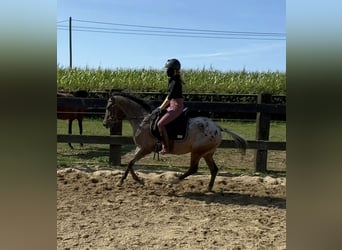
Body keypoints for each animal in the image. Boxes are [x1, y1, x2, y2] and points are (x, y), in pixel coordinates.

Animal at [103, 92, 247, 191]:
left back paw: (174, 181)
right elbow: (130, 163)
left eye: (109, 107)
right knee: (214, 169)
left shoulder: (145, 149)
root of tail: (217, 127)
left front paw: (125, 181)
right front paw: (135, 180)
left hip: (197, 152)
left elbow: (130, 163)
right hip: (207, 153)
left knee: (193, 169)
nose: (105, 124)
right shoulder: (139, 148)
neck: (142, 120)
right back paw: (209, 188)